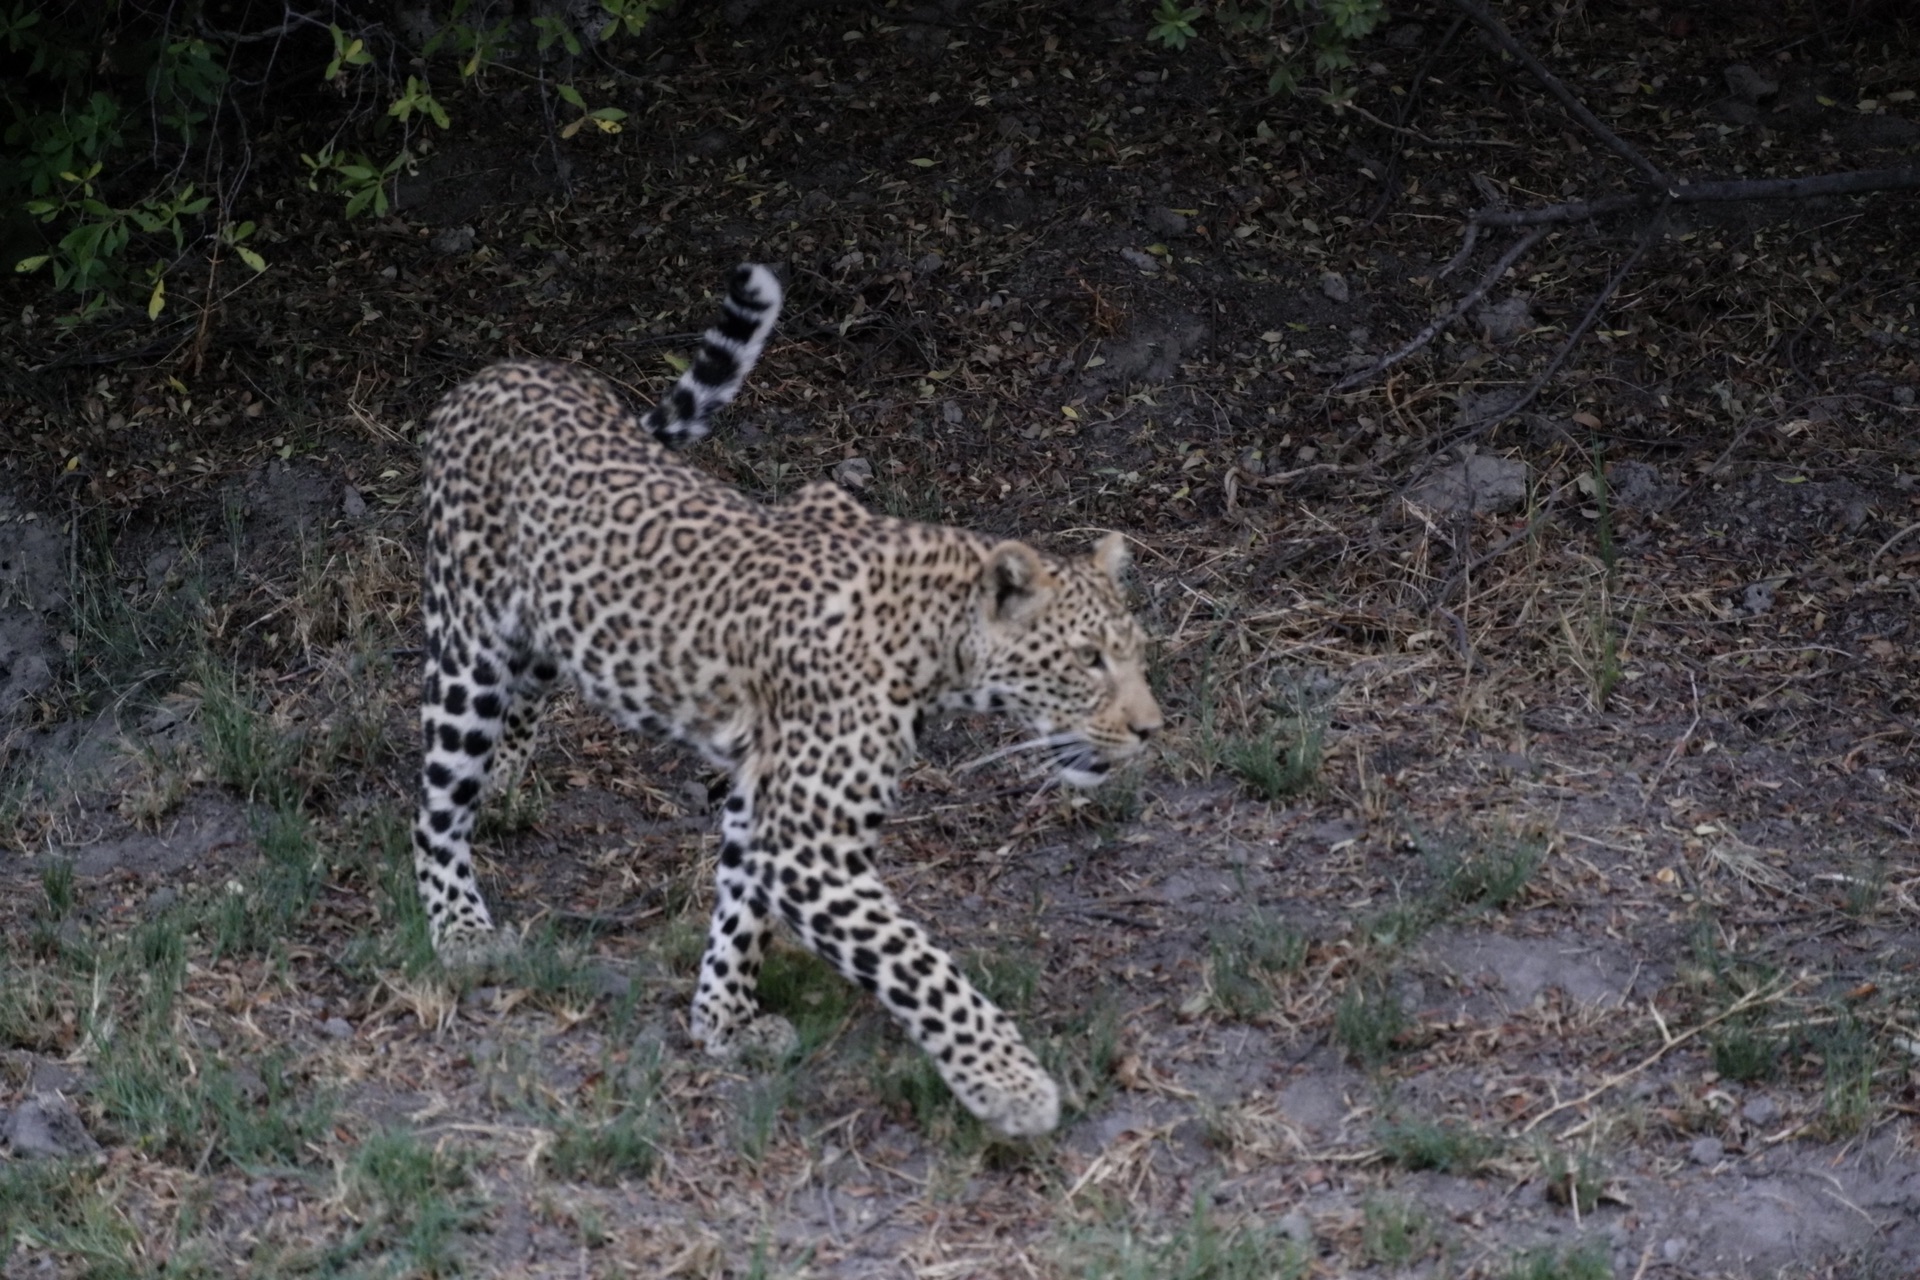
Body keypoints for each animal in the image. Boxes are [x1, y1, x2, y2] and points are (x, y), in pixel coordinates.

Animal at [412, 262, 1159, 1143]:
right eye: (1087, 661)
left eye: (1134, 655)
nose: (1151, 731)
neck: (934, 638)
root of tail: (497, 373)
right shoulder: (812, 844)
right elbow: (920, 964)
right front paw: (1010, 1084)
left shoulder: (763, 801)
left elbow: (741, 910)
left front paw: (722, 1021)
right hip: (465, 647)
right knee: (436, 805)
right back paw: (460, 926)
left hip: (537, 631)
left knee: (522, 707)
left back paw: (503, 788)